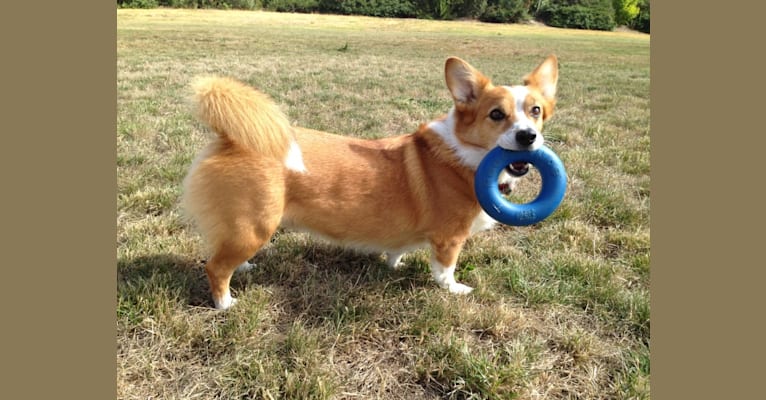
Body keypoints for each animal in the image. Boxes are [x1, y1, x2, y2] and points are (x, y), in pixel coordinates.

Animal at [183, 55, 560, 310]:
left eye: (536, 111)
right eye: (496, 114)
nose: (528, 137)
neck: (465, 154)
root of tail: (230, 139)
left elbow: (398, 250)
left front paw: (396, 264)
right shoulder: (450, 238)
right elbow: (444, 270)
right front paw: (454, 290)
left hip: (245, 230)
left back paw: (245, 268)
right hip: (255, 225)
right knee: (215, 267)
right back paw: (225, 304)